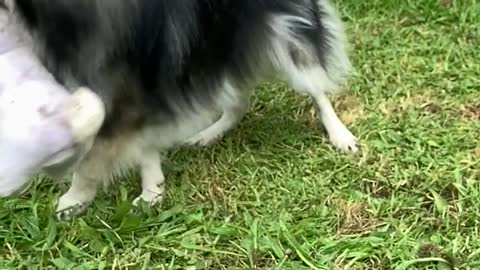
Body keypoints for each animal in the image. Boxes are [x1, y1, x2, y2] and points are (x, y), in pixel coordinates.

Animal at [2, 0, 356, 219]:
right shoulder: (139, 90)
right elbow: (142, 145)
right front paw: (153, 191)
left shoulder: (118, 88)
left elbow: (91, 163)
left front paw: (75, 199)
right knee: (239, 101)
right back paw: (209, 134)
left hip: (284, 35)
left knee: (316, 88)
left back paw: (340, 135)